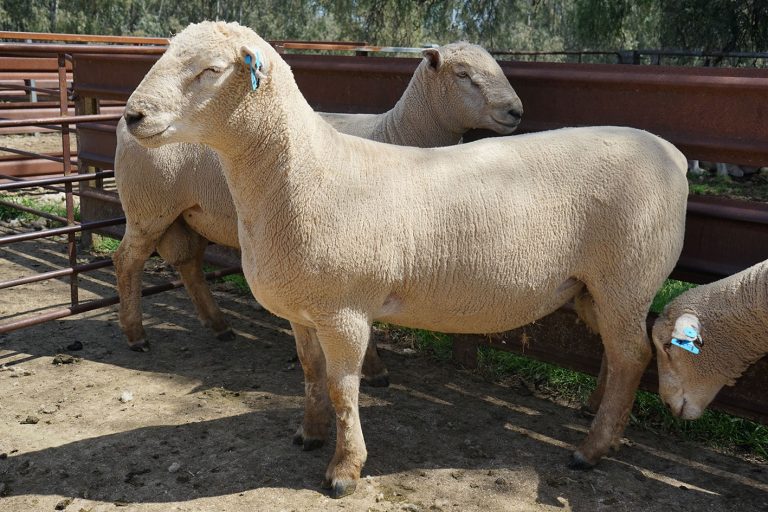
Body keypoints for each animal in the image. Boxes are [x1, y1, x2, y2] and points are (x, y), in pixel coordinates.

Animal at [113, 40, 523, 388]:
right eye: (463, 74)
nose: (516, 111)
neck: (398, 135)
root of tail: (120, 122)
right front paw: (374, 369)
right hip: (147, 206)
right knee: (127, 260)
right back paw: (135, 336)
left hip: (186, 212)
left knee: (188, 263)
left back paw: (219, 326)